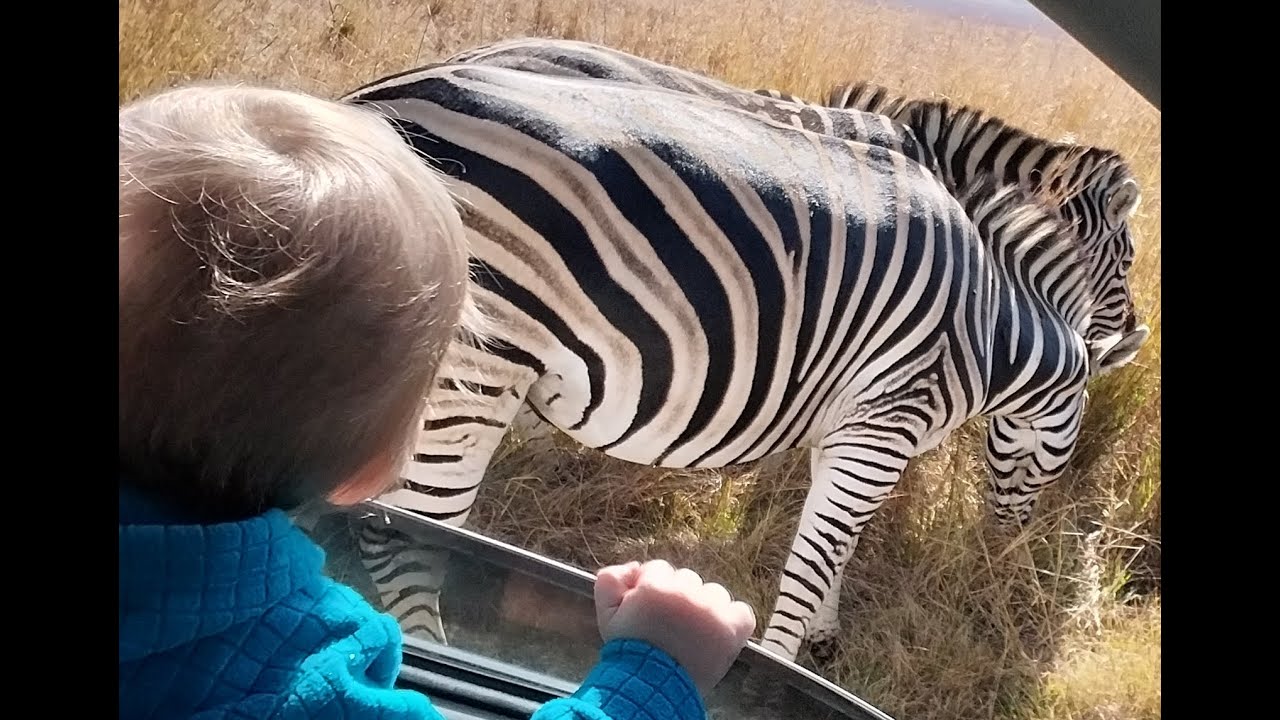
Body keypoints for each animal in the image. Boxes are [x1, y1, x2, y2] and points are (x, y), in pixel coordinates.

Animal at [328, 61, 1150, 664]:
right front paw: (783, 664)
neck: (989, 321)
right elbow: (816, 558)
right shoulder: (884, 424)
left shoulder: (849, 427)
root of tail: (367, 104)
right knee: (403, 537)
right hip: (476, 370)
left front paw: (824, 635)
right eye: (1127, 259)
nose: (1004, 553)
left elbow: (835, 544)